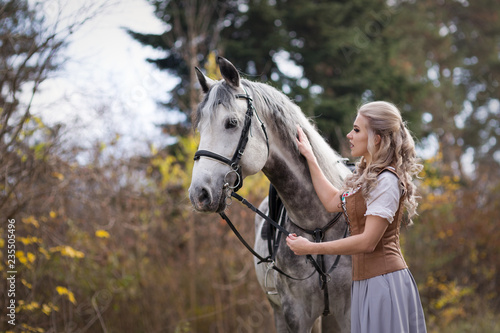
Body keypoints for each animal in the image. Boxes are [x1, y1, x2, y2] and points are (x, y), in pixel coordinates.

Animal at [188, 55, 352, 330]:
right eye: (201, 128)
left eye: (231, 123)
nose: (199, 194)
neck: (319, 226)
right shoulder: (295, 314)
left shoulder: (348, 313)